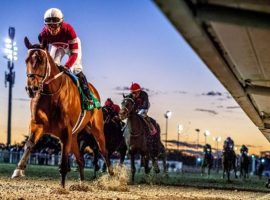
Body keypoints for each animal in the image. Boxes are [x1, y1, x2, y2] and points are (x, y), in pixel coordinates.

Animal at [11, 38, 113, 188]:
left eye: (41, 60)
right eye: (26, 60)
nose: (31, 88)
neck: (51, 93)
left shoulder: (65, 130)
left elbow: (64, 161)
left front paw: (62, 188)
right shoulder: (37, 124)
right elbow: (29, 144)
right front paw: (18, 170)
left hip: (97, 129)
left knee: (104, 152)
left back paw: (113, 177)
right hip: (75, 135)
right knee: (81, 160)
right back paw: (82, 184)